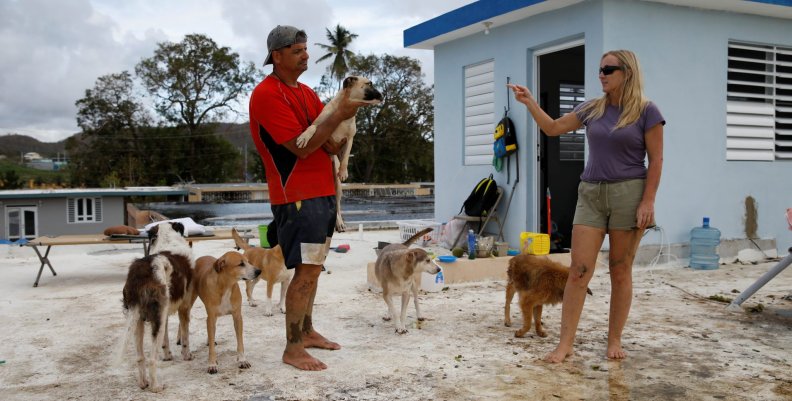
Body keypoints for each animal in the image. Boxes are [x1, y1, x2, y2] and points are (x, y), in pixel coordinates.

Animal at [121, 220, 194, 392]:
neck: (168, 240)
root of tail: (140, 272)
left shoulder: (165, 314)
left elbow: (166, 340)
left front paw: (168, 356)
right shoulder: (184, 307)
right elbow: (185, 335)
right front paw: (186, 355)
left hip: (138, 320)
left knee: (140, 357)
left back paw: (143, 383)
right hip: (156, 317)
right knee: (152, 359)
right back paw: (155, 387)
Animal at [296, 75, 384, 231]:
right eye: (369, 84)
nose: (382, 95)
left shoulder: (349, 140)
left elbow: (346, 158)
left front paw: (343, 171)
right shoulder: (321, 127)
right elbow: (312, 127)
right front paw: (304, 137)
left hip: (337, 187)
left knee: (337, 206)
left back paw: (339, 223)